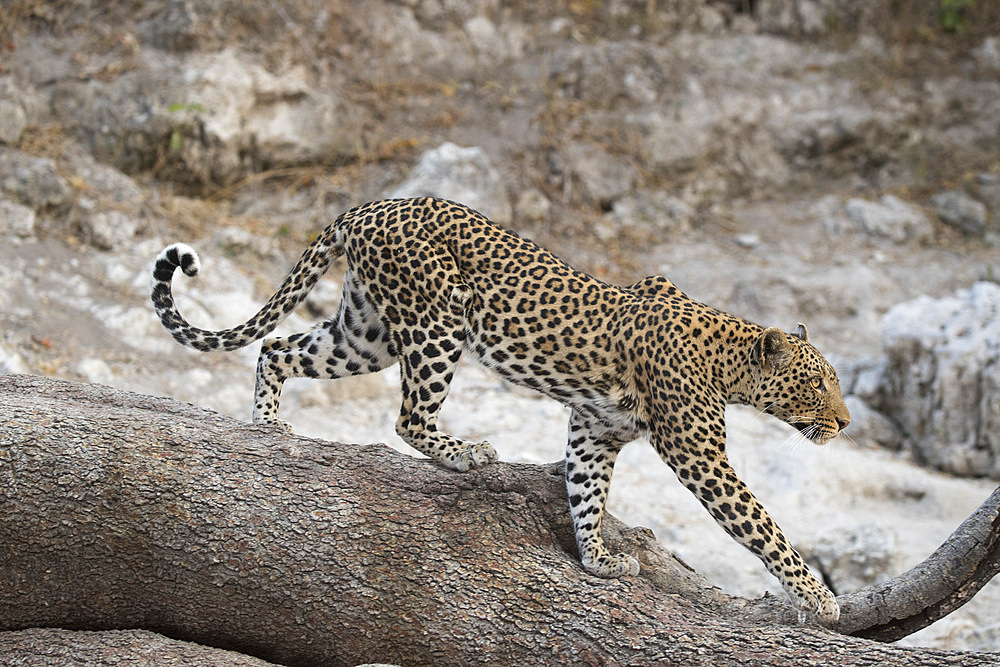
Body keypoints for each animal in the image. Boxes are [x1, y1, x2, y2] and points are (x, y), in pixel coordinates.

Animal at [152, 196, 848, 624]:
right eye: (817, 386)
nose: (844, 423)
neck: (731, 363)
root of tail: (371, 204)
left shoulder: (594, 430)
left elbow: (588, 493)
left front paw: (597, 560)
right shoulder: (700, 456)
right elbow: (764, 527)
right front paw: (819, 599)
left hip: (365, 333)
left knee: (276, 347)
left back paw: (268, 423)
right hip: (436, 323)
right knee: (408, 416)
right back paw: (465, 453)